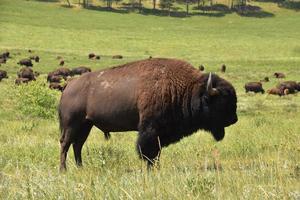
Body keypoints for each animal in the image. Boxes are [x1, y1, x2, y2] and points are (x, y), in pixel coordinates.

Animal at [57, 57, 238, 171]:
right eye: (222, 101)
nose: (234, 119)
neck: (187, 89)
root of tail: (69, 86)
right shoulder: (150, 130)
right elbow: (148, 152)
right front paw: (151, 169)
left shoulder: (160, 134)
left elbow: (157, 152)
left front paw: (156, 168)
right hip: (72, 124)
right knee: (66, 144)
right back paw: (63, 170)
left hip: (86, 125)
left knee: (77, 145)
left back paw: (80, 167)